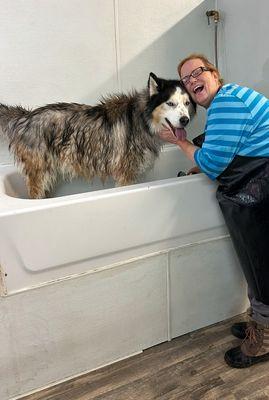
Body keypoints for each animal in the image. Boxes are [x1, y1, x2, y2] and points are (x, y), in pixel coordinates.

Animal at [0, 73, 195, 198]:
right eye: (170, 103)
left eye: (186, 103)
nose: (185, 120)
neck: (141, 120)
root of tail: (26, 117)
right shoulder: (125, 176)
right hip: (40, 177)